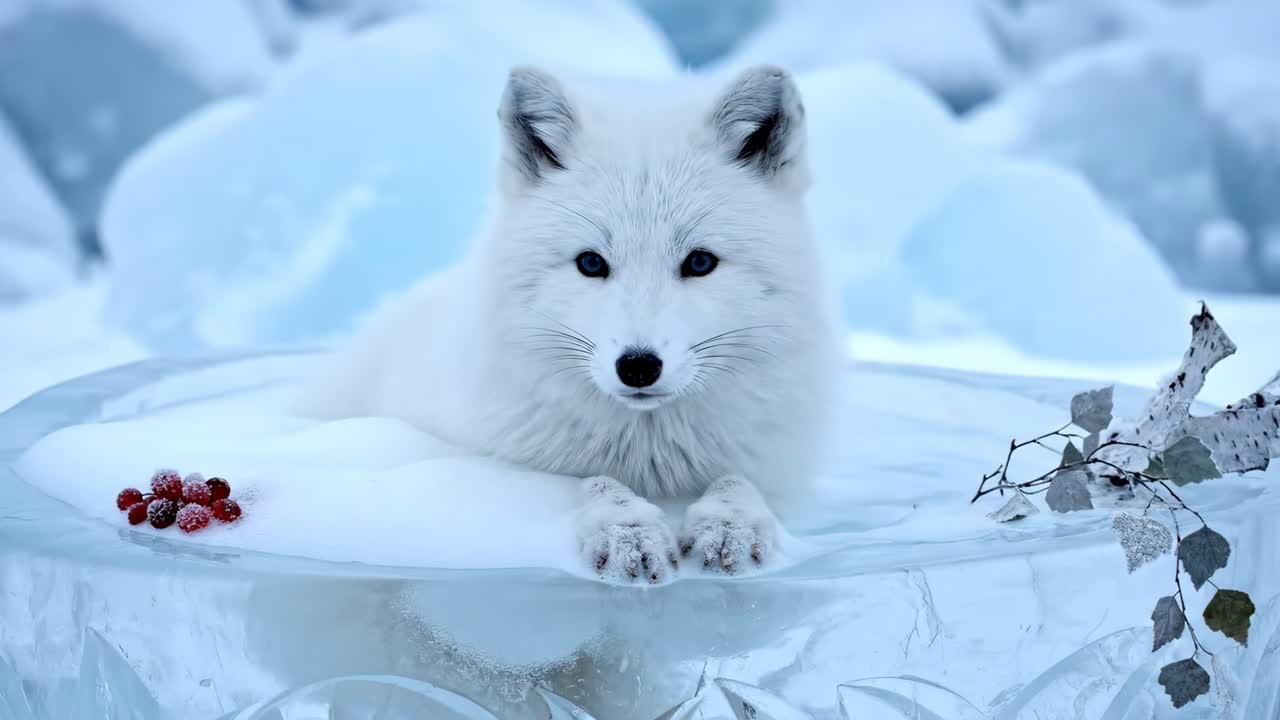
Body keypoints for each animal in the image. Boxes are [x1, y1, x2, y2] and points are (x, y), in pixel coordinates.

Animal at [300, 64, 843, 583]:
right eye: (591, 263)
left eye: (700, 263)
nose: (638, 366)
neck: (650, 457)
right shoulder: (486, 463)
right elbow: (589, 483)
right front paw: (628, 533)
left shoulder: (779, 475)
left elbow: (739, 482)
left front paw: (730, 526)